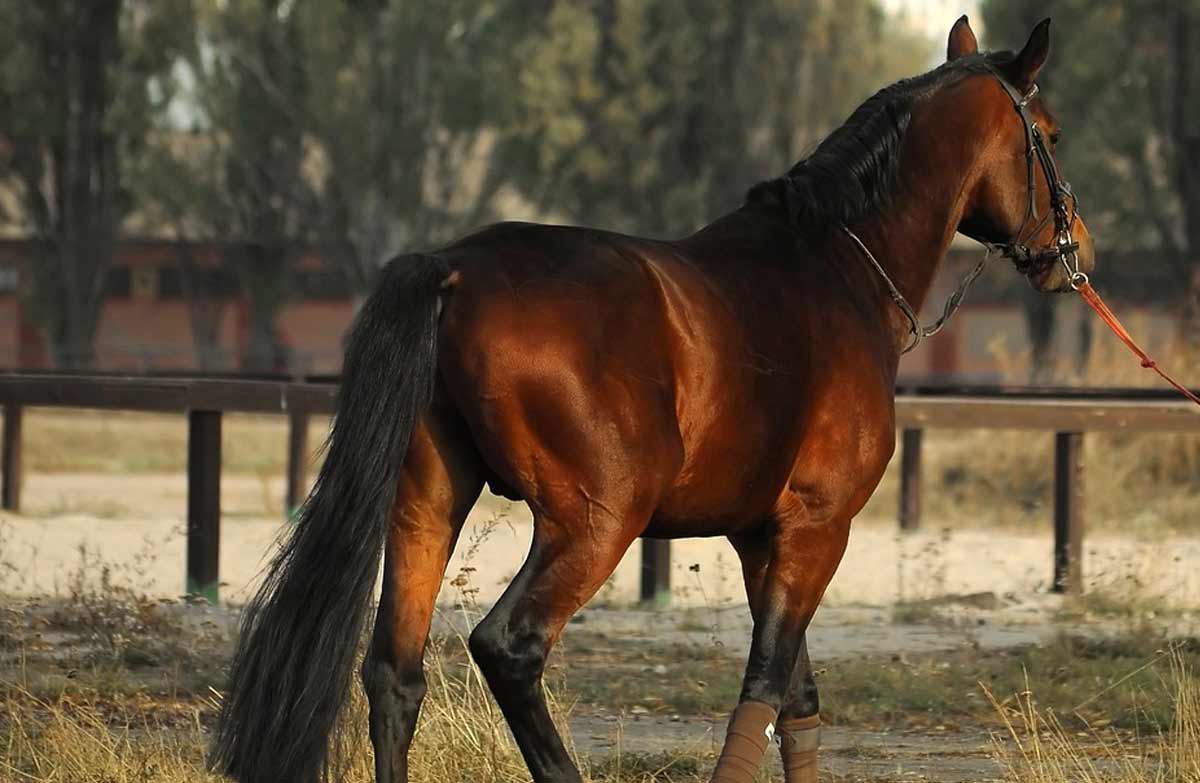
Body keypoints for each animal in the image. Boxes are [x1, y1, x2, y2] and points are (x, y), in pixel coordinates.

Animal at [211, 15, 1095, 783]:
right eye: (1050, 136)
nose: (1073, 250)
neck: (837, 270)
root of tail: (454, 267)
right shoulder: (818, 527)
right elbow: (764, 690)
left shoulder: (761, 535)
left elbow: (797, 699)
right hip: (596, 521)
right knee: (509, 647)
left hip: (428, 504)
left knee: (395, 671)